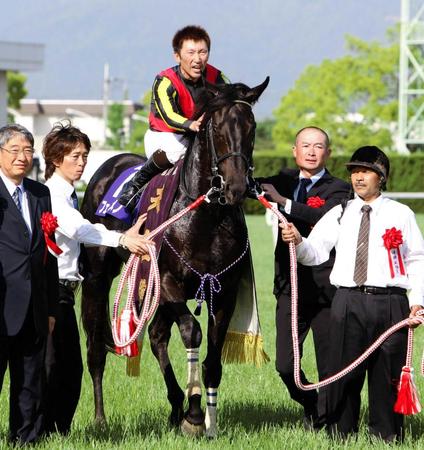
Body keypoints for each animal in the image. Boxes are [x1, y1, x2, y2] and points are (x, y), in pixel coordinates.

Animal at [80, 77, 268, 436]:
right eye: (217, 127)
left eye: (251, 127)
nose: (237, 187)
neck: (206, 215)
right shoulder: (168, 283)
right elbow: (192, 332)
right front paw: (194, 416)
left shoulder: (225, 293)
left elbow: (212, 359)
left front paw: (208, 421)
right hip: (99, 278)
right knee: (97, 347)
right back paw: (100, 418)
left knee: (156, 337)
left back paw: (175, 406)